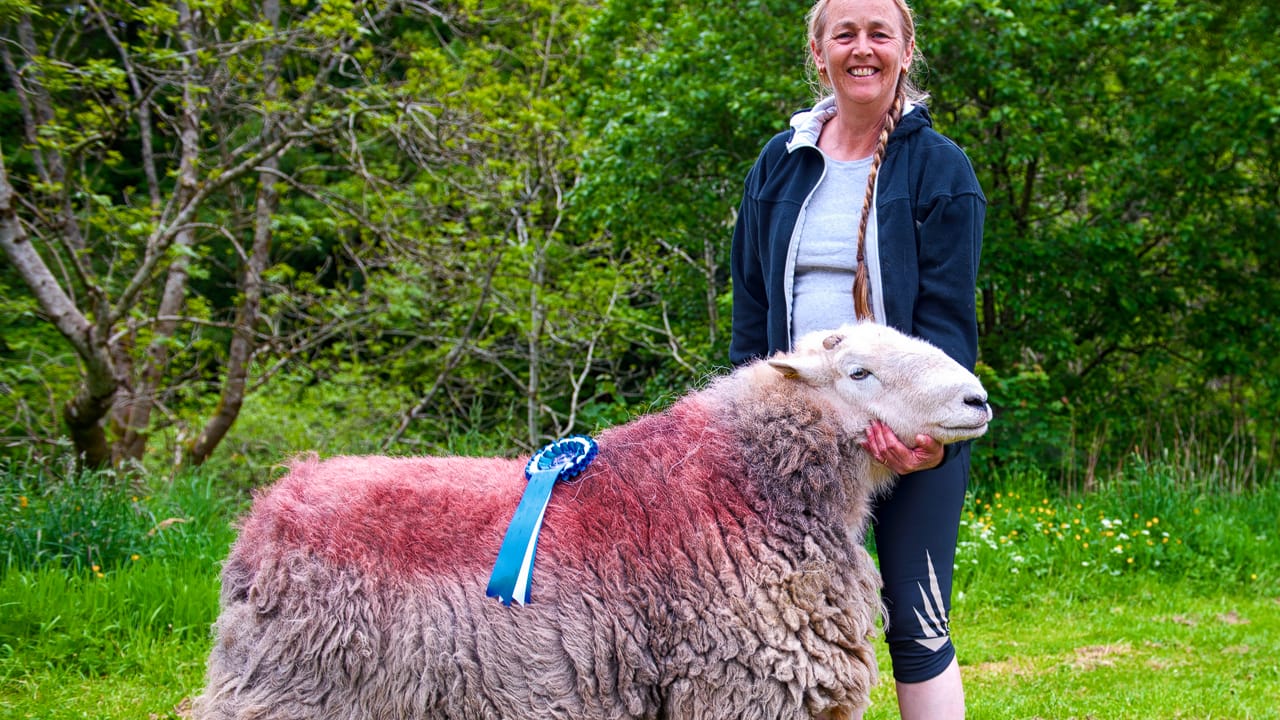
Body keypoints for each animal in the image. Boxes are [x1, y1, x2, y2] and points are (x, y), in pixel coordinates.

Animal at [192, 320, 988, 717]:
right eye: (859, 372)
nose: (978, 399)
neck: (749, 486)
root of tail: (277, 497)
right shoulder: (739, 686)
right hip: (288, 686)